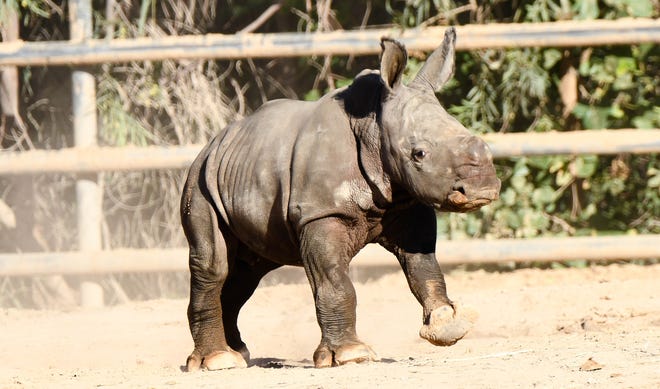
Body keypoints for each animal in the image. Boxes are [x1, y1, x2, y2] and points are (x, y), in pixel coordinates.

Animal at [180, 28, 500, 370]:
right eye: (420, 154)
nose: (483, 189)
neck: (374, 128)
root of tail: (213, 143)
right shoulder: (320, 212)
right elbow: (335, 283)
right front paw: (351, 355)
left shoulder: (406, 202)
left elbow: (424, 267)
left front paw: (449, 325)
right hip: (201, 181)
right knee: (215, 262)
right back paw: (217, 361)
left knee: (246, 270)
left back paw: (238, 353)